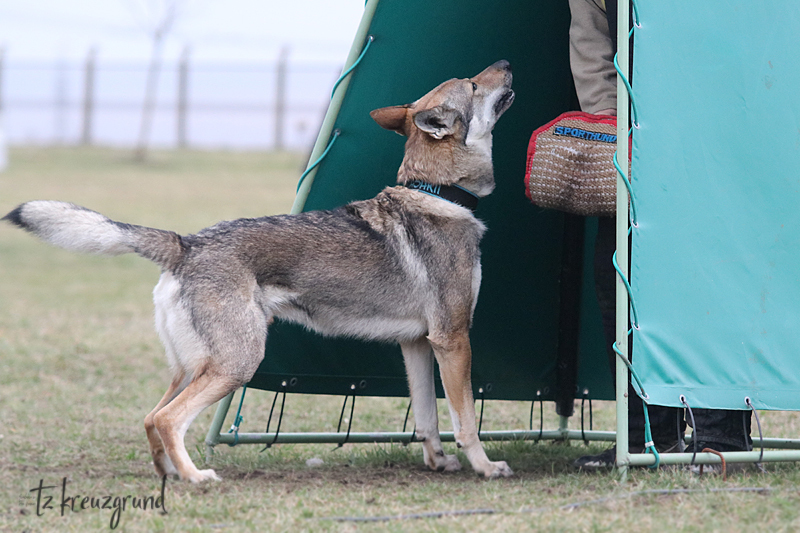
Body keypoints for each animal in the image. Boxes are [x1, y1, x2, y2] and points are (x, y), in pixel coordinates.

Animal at [3, 60, 515, 481]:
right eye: (473, 83)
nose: (507, 62)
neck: (440, 193)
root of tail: (186, 243)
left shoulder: (417, 344)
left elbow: (428, 419)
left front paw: (438, 463)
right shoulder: (452, 339)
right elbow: (466, 420)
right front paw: (485, 467)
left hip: (194, 367)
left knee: (151, 417)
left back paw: (170, 475)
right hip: (237, 364)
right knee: (168, 419)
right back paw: (196, 478)